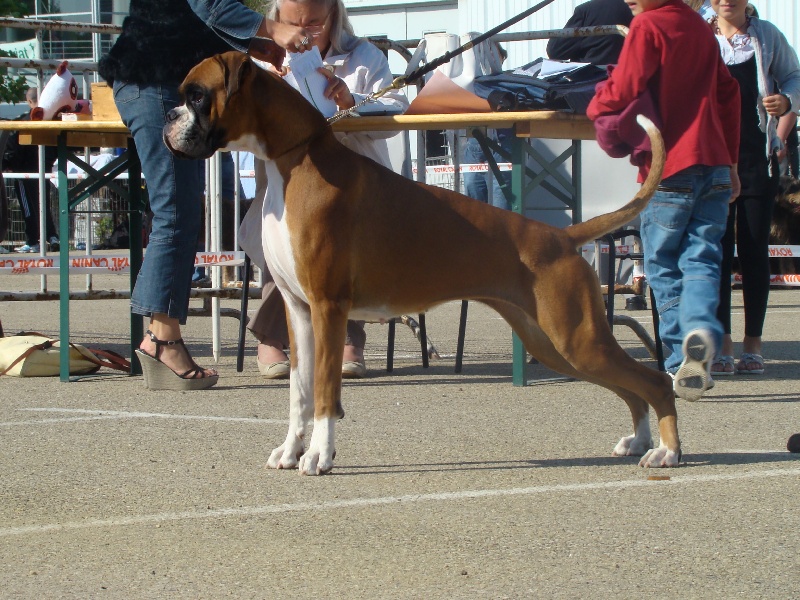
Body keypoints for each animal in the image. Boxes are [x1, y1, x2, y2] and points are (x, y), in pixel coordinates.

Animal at [166, 51, 680, 474]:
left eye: (197, 95)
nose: (169, 116)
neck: (292, 160)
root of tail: (563, 235)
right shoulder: (299, 312)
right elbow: (300, 392)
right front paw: (292, 451)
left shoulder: (329, 308)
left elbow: (326, 391)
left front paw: (319, 456)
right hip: (555, 343)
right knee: (630, 387)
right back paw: (638, 440)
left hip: (576, 339)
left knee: (655, 380)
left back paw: (668, 452)